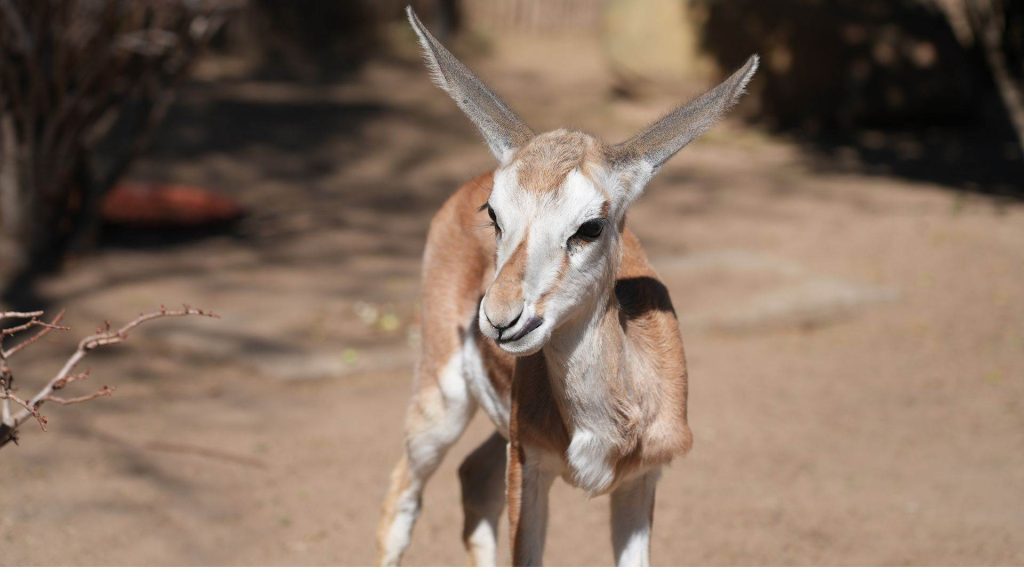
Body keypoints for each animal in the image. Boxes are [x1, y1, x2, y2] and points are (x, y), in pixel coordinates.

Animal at [377, 7, 758, 567]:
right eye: (494, 213)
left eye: (590, 226)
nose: (501, 319)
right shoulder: (530, 467)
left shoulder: (641, 481)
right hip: (439, 404)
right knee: (402, 496)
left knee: (473, 477)